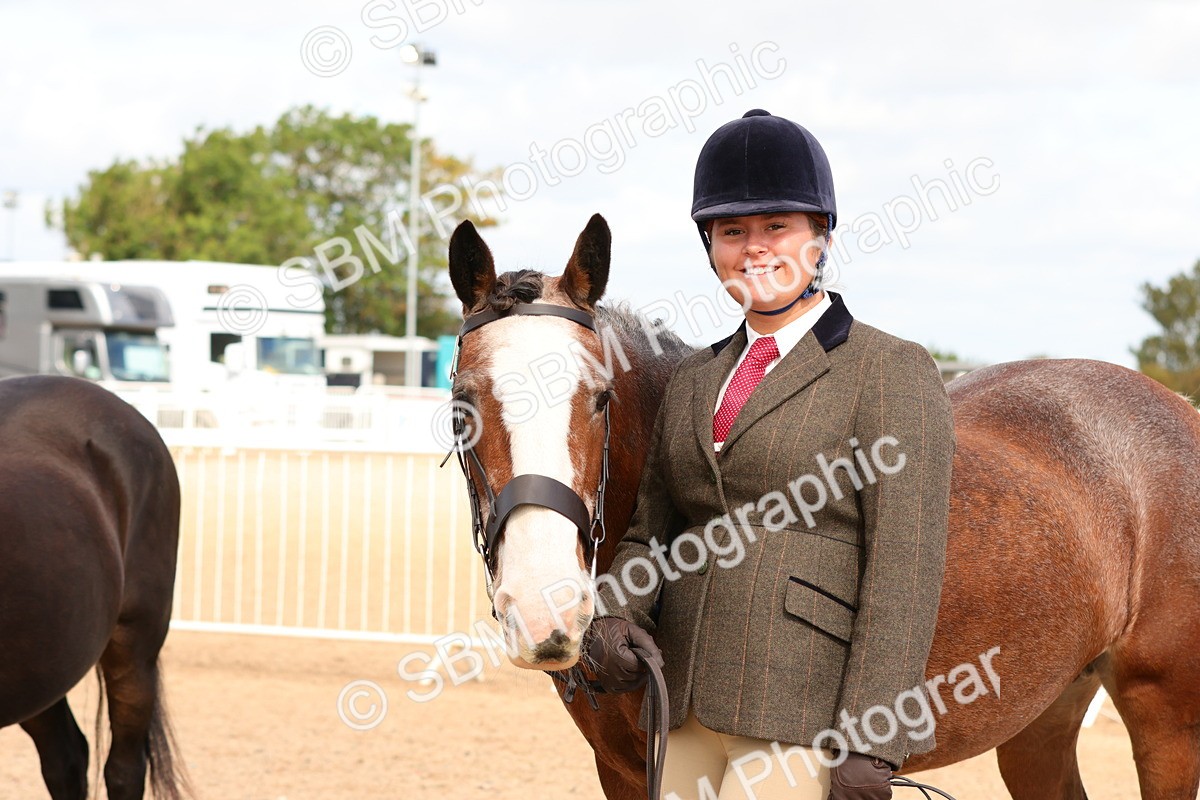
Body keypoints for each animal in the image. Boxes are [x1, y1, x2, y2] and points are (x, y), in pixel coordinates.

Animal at [446, 214, 1200, 800]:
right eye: (461, 408)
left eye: (600, 398)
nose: (543, 609)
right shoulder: (626, 772)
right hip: (1041, 714)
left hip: (1165, 717)